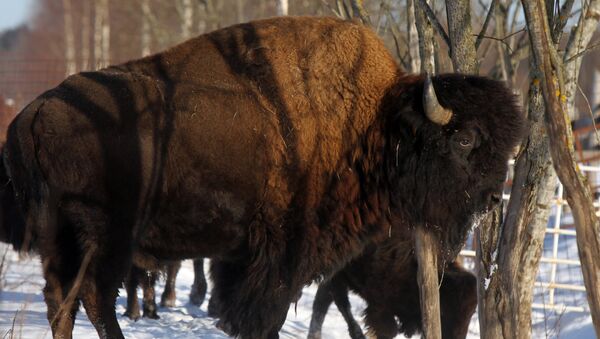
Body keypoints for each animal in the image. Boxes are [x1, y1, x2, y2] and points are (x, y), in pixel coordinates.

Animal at [2, 15, 524, 339]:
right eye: (465, 140)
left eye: (506, 148)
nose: (492, 199)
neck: (377, 124)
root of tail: (34, 112)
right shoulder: (282, 259)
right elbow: (264, 318)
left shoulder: (242, 260)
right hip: (106, 238)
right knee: (93, 297)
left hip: (66, 243)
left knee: (63, 299)